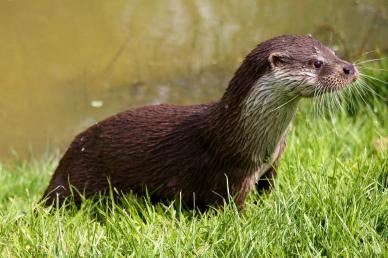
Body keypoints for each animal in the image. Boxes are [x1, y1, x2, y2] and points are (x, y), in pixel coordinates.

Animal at [41, 34, 360, 209]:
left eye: (333, 52)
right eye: (317, 63)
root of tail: (63, 163)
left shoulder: (272, 166)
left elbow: (270, 189)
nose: (350, 68)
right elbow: (232, 207)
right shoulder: (233, 174)